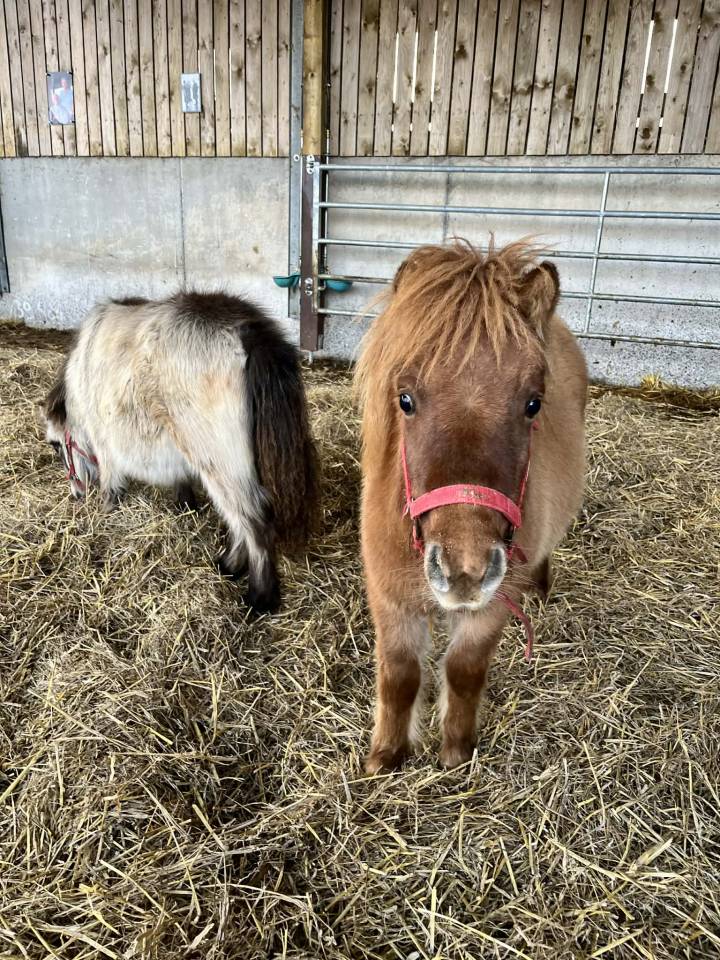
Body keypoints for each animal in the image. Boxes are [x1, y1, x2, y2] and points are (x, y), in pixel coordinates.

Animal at [44, 292, 318, 614]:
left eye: (55, 444)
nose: (76, 494)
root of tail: (249, 334)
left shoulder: (104, 441)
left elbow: (111, 484)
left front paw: (107, 510)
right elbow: (180, 479)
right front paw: (185, 504)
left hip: (218, 463)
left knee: (253, 520)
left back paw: (259, 597)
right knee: (241, 519)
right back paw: (229, 566)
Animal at [355, 240, 588, 771]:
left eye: (533, 403)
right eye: (405, 398)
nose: (465, 569)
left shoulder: (492, 607)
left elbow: (463, 670)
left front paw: (456, 752)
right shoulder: (389, 598)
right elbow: (399, 675)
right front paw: (386, 755)